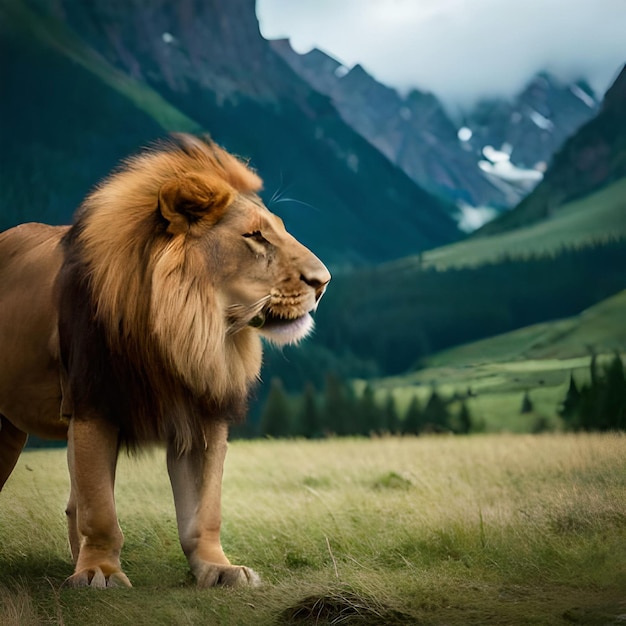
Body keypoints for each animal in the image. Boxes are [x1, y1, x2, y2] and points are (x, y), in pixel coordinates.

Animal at [0, 134, 330, 588]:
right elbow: (98, 506)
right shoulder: (93, 405)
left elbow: (204, 510)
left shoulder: (204, 415)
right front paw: (100, 572)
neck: (191, 328)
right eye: (255, 237)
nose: (324, 281)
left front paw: (219, 569)